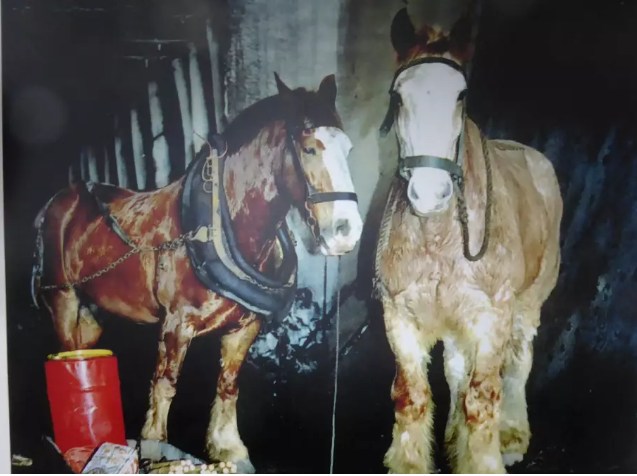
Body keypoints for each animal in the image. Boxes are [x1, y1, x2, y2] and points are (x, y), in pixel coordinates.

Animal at [32, 72, 362, 470]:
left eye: (348, 148)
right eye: (309, 148)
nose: (347, 231)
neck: (220, 229)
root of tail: (58, 201)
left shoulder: (244, 327)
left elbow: (228, 384)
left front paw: (228, 447)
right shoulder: (177, 324)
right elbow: (166, 383)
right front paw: (154, 448)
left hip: (92, 310)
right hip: (63, 299)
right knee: (69, 358)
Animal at [372, 6, 560, 472]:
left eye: (461, 96)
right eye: (398, 96)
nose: (429, 193)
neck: (439, 238)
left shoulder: (492, 318)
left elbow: (482, 399)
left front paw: (484, 457)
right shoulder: (399, 317)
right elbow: (413, 397)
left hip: (527, 305)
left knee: (519, 361)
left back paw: (512, 434)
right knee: (457, 370)